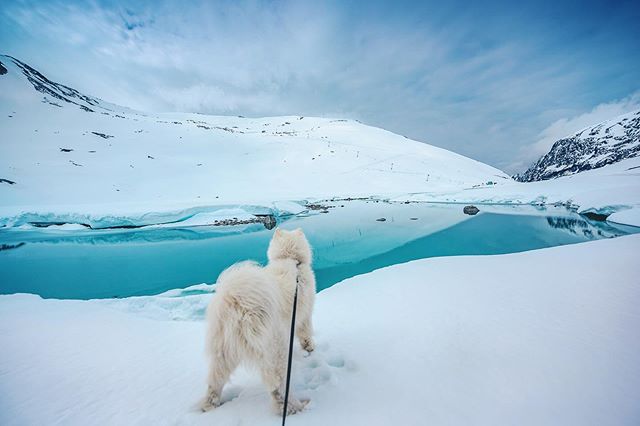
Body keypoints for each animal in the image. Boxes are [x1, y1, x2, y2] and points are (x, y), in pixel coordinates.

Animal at [201, 228, 316, 414]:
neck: (289, 260)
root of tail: (239, 305)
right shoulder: (305, 314)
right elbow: (306, 333)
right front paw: (310, 348)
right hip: (275, 351)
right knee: (278, 388)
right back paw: (295, 407)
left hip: (223, 352)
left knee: (214, 382)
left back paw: (209, 406)